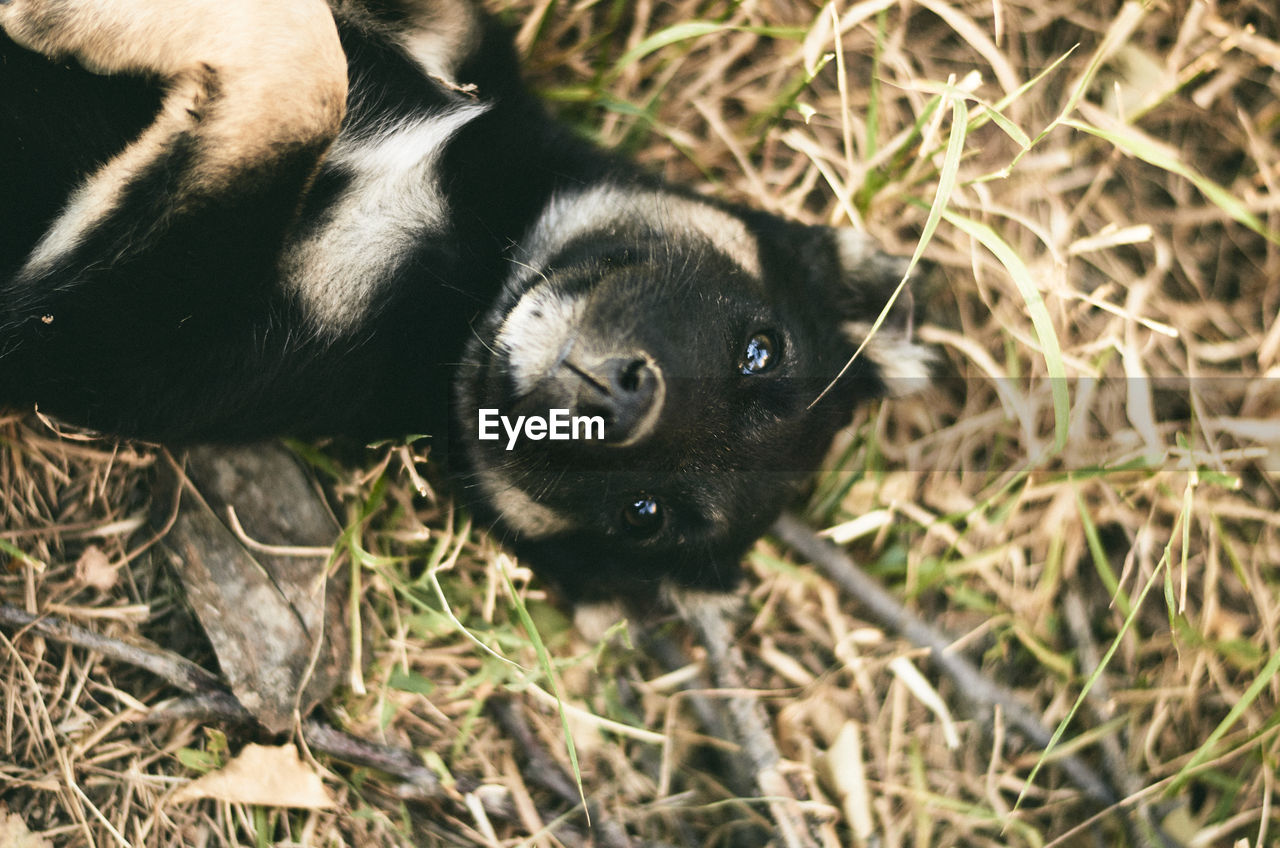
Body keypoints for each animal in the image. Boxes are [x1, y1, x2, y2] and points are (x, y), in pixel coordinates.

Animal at [0, 1, 926, 612]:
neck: (475, 271)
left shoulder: (107, 336)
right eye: (761, 351)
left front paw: (58, 16)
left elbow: (305, 84)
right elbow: (319, 40)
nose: (615, 400)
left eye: (645, 516)